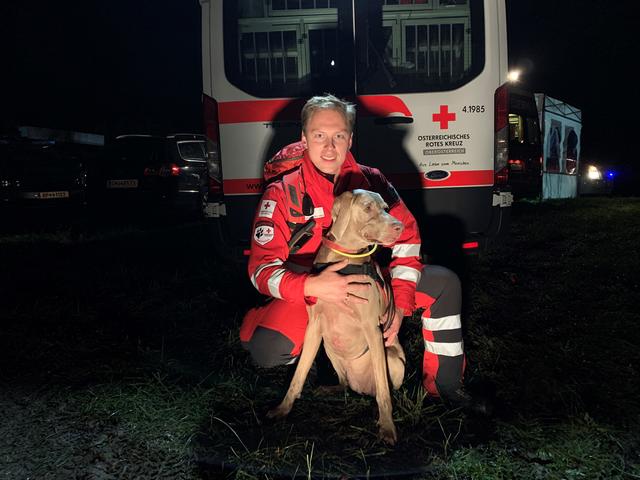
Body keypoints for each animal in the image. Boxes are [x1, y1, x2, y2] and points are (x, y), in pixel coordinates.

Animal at [264, 189, 404, 444]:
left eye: (387, 208)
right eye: (368, 207)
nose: (399, 226)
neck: (346, 260)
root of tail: (361, 389)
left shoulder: (372, 329)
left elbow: (384, 392)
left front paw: (388, 428)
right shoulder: (314, 327)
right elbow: (298, 375)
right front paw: (282, 410)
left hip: (390, 356)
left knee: (383, 388)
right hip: (330, 349)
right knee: (344, 383)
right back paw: (331, 388)